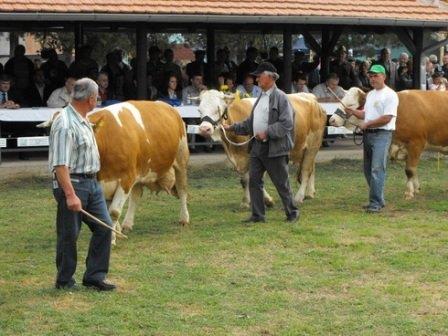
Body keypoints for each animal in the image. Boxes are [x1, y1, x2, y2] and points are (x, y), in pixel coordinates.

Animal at [41, 100, 189, 244]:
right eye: (51, 135)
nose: (55, 164)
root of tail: (166, 105)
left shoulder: (126, 179)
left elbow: (114, 212)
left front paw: (112, 238)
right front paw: (114, 232)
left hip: (181, 160)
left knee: (182, 189)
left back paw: (184, 219)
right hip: (140, 170)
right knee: (136, 195)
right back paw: (127, 224)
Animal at [198, 89, 328, 206]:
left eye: (218, 108)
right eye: (199, 110)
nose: (204, 129)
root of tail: (311, 98)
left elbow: (255, 178)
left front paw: (267, 200)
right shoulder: (238, 158)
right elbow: (244, 179)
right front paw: (246, 202)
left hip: (313, 145)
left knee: (306, 170)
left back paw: (299, 197)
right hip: (303, 148)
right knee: (311, 168)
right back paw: (309, 193)